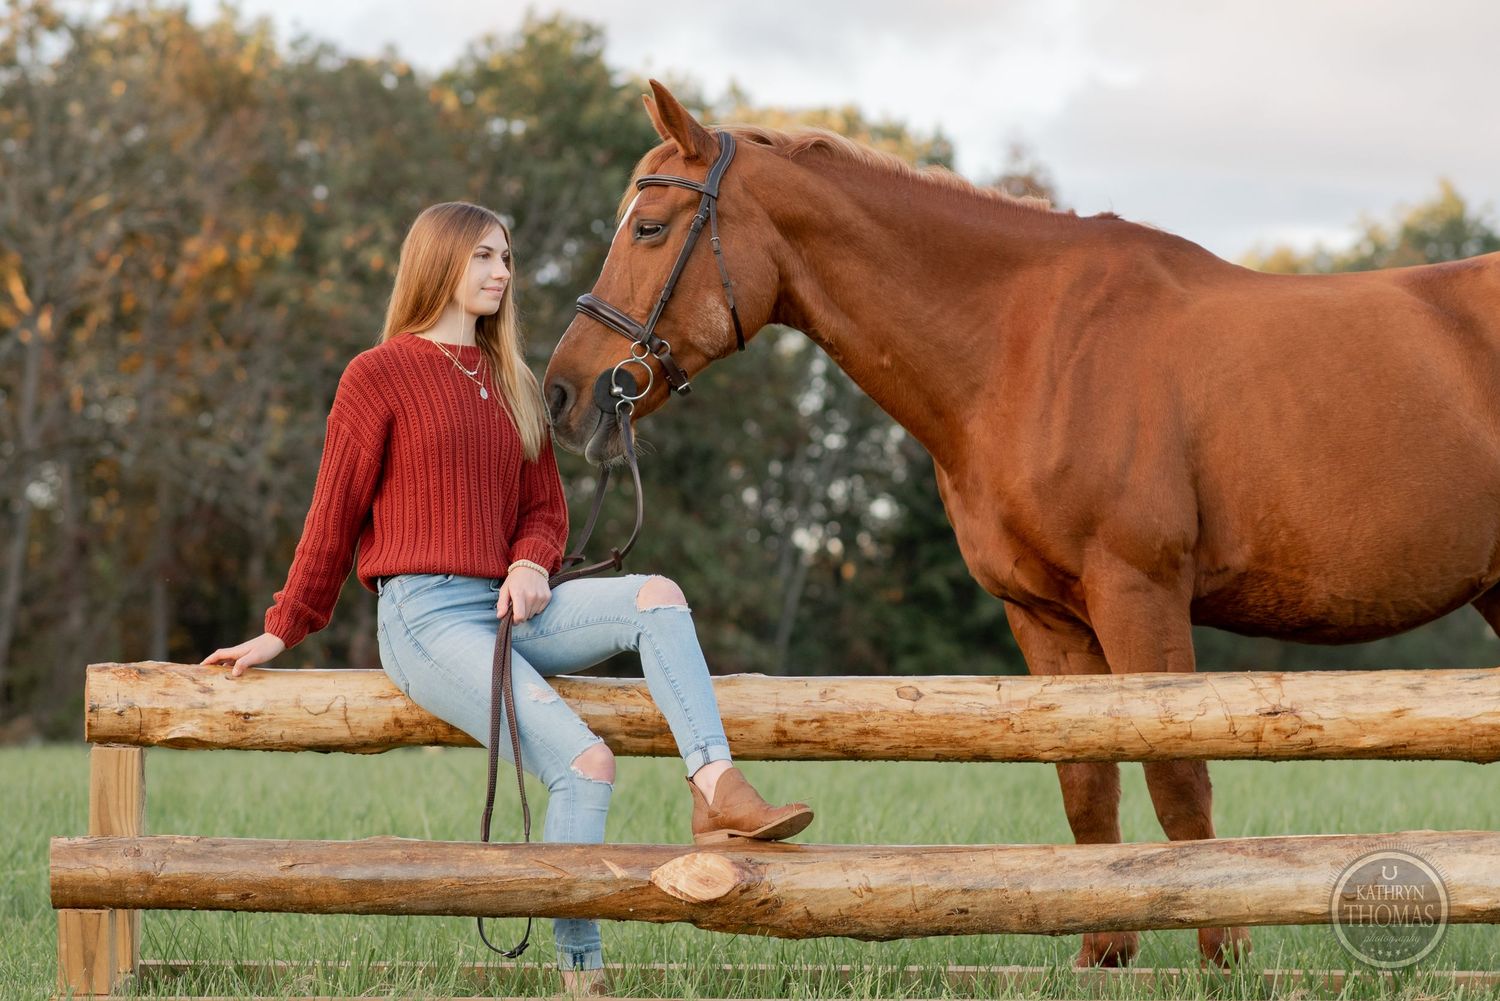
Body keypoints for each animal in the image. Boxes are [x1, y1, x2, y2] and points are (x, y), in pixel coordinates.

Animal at [542, 80, 1500, 968]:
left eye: (650, 228)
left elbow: (1177, 777)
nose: (562, 392)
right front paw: (1104, 952)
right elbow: (1086, 780)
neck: (1029, 347)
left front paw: (1222, 953)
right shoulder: (1044, 614)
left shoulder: (1138, 594)